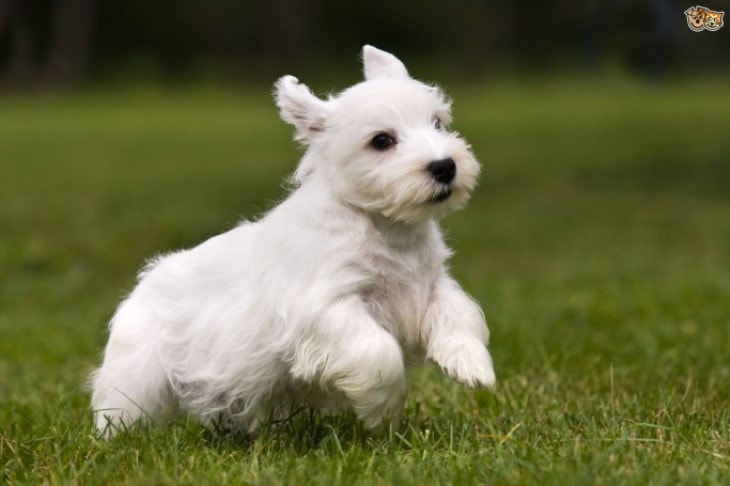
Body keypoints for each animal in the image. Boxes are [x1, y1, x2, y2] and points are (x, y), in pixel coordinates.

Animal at [88, 45, 492, 436]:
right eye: (381, 141)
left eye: (437, 122)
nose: (445, 166)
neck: (386, 228)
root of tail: (145, 281)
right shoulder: (328, 308)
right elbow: (379, 351)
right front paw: (384, 413)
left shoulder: (430, 283)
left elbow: (458, 314)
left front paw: (472, 366)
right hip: (137, 378)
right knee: (120, 410)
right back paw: (115, 440)